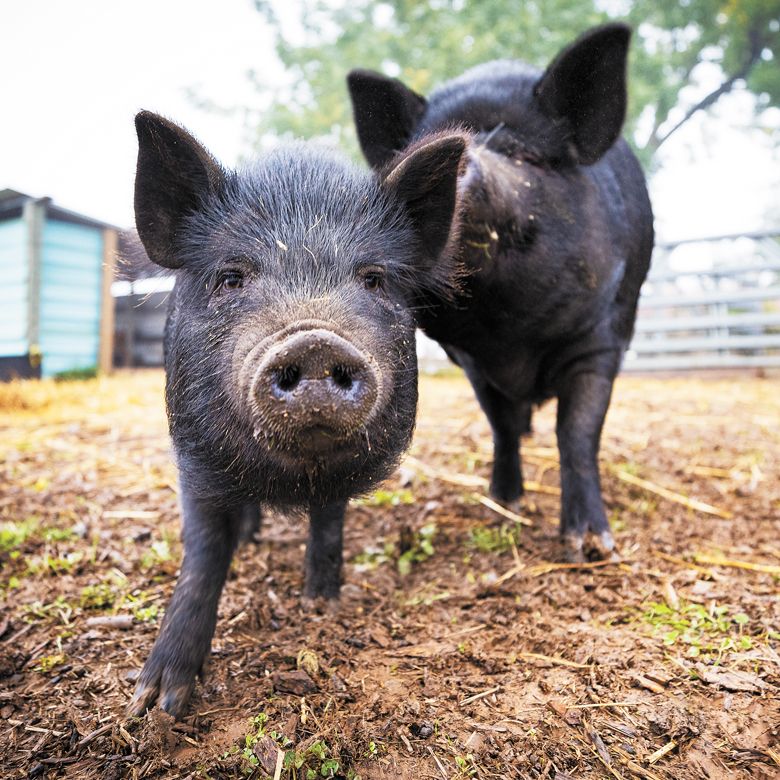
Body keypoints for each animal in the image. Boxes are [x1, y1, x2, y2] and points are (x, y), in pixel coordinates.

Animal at [129, 111, 466, 720]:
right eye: (232, 277)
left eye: (374, 279)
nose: (313, 342)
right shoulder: (193, 457)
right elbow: (204, 552)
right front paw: (156, 703)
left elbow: (328, 525)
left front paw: (322, 603)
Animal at [350, 22, 656, 560]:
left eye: (522, 154)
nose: (461, 159)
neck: (512, 334)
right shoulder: (473, 363)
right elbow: (501, 425)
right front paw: (504, 500)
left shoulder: (601, 340)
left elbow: (577, 432)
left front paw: (590, 547)